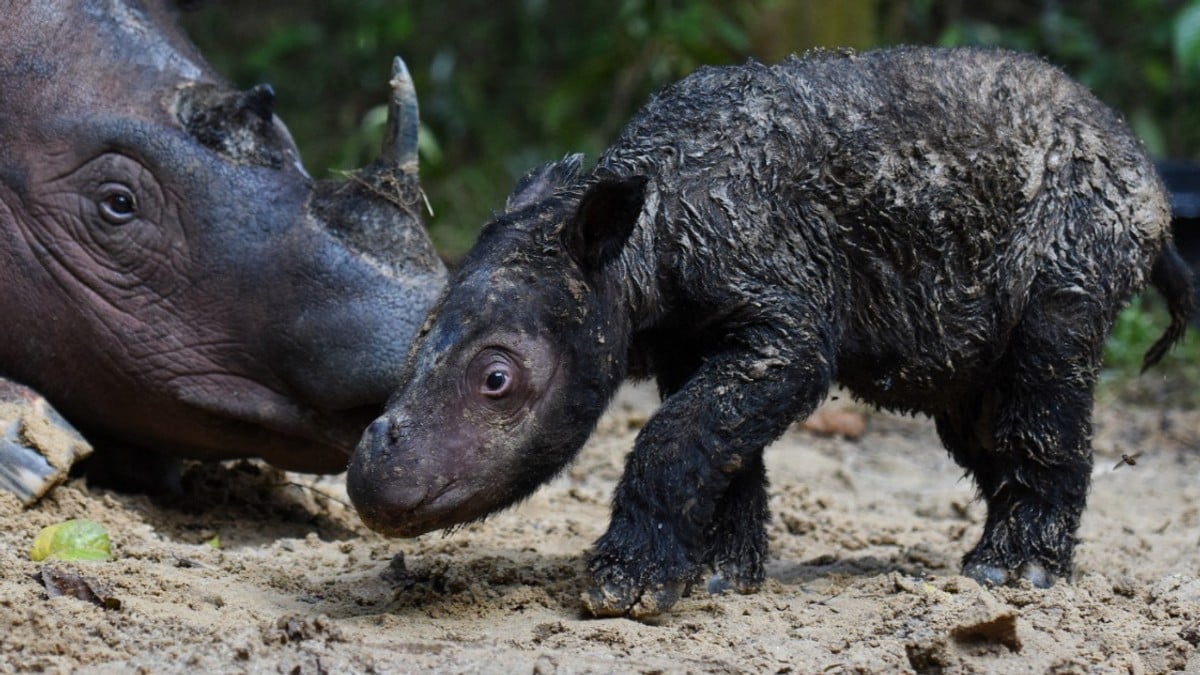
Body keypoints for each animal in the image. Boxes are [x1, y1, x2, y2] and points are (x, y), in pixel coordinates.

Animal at [345, 47, 1190, 614]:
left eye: (497, 379)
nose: (369, 482)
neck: (638, 243)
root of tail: (1151, 180)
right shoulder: (695, 338)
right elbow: (720, 443)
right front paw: (716, 577)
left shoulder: (785, 324)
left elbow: (675, 435)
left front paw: (624, 589)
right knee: (977, 407)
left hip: (1082, 236)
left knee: (1044, 371)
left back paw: (1012, 576)